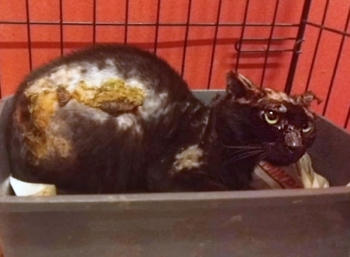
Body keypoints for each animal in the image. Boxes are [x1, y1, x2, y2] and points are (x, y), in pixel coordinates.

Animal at [4, 43, 320, 192]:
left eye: (306, 125)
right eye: (271, 117)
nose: (294, 145)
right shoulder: (167, 174)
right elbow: (215, 187)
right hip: (126, 130)